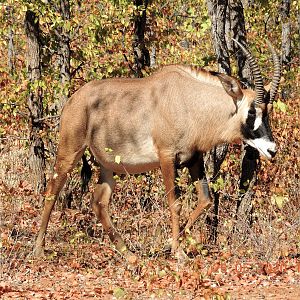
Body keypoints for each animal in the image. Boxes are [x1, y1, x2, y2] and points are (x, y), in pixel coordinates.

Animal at [34, 40, 282, 260]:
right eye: (252, 111)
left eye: (267, 112)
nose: (272, 150)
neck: (190, 101)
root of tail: (73, 99)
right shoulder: (167, 157)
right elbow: (176, 203)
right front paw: (178, 252)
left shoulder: (194, 159)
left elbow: (205, 200)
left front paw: (170, 244)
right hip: (70, 150)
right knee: (52, 191)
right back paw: (38, 249)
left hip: (107, 165)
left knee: (99, 202)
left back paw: (129, 256)